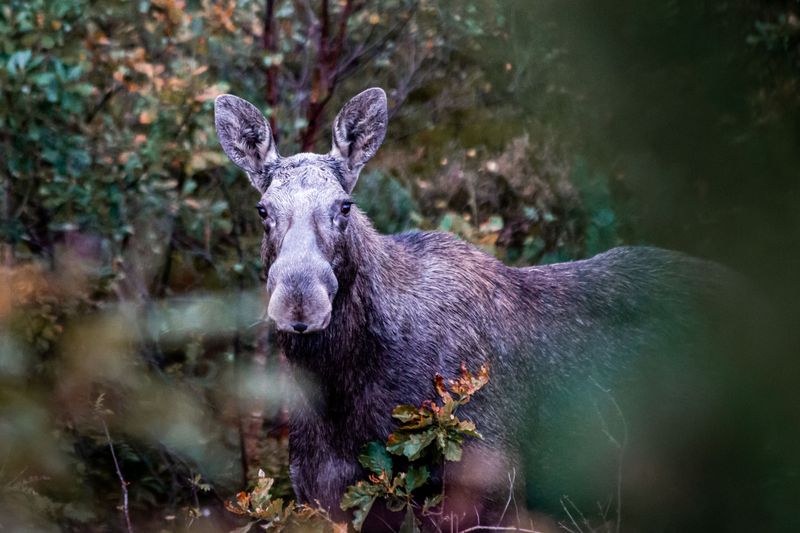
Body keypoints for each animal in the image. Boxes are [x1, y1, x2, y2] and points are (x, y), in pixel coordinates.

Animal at [214, 88, 735, 530]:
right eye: (263, 210)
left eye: (344, 205)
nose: (300, 302)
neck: (343, 392)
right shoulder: (322, 498)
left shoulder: (494, 493)